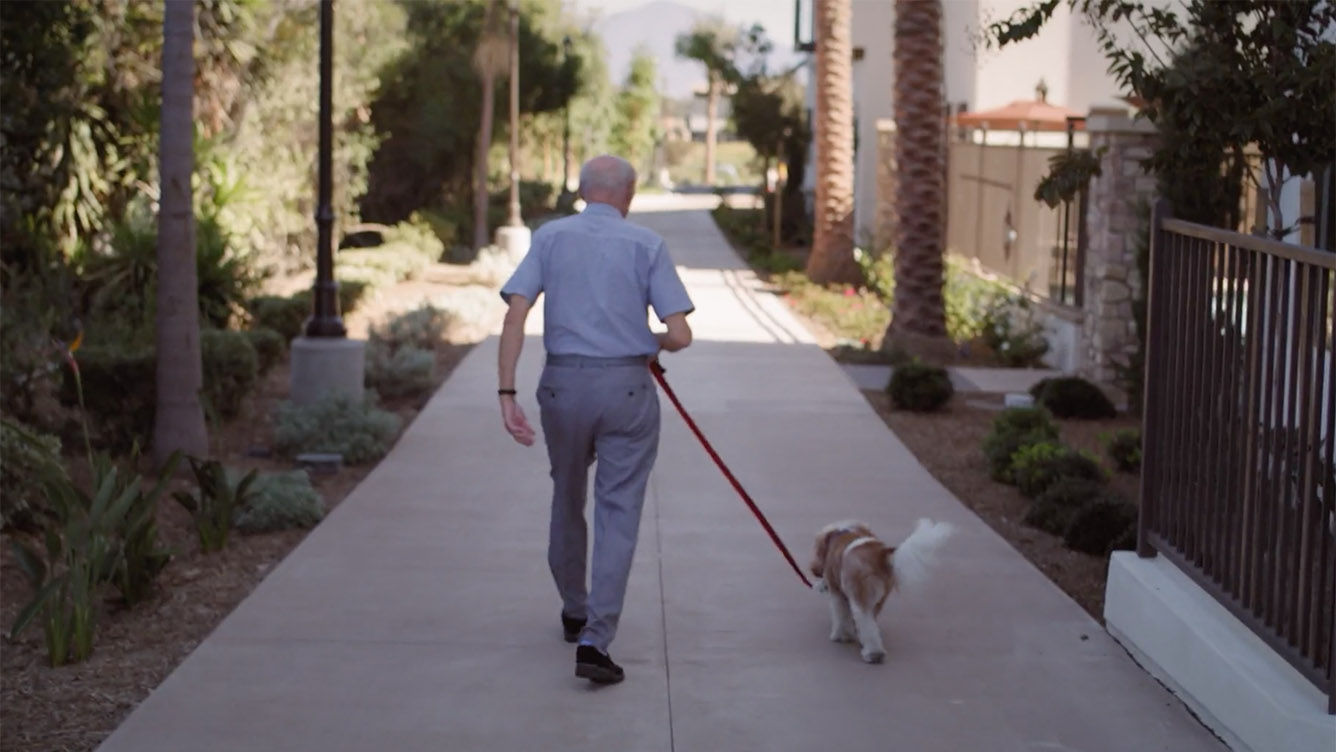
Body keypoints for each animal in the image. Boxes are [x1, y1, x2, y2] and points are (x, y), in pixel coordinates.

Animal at [806, 520, 956, 662]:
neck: (840, 532)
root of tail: (880, 555)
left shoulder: (837, 592)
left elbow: (840, 616)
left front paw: (840, 636)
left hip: (861, 597)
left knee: (867, 623)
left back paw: (873, 653)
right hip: (879, 598)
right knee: (870, 623)